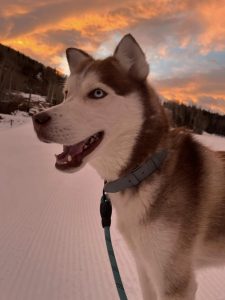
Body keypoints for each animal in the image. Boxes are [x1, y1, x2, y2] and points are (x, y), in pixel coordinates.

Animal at [33, 34, 225, 298]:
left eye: (97, 93)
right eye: (66, 93)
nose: (37, 119)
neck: (144, 168)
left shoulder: (175, 282)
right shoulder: (145, 266)